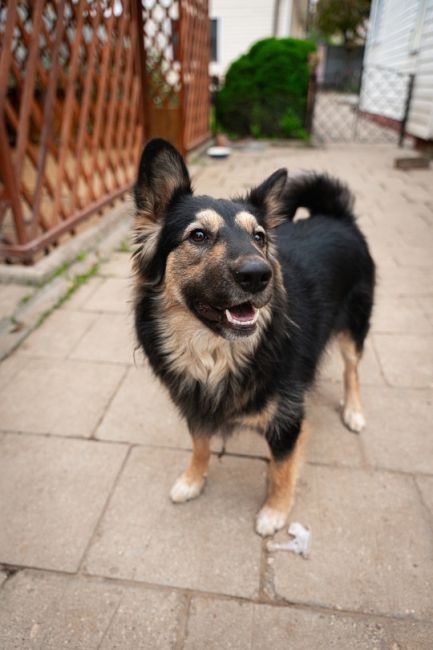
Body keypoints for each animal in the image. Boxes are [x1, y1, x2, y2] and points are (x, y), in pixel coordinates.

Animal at [132, 139, 374, 536]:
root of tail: (337, 216)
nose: (258, 275)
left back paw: (354, 411)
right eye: (198, 235)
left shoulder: (287, 420)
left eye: (258, 237)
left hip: (354, 326)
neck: (216, 352)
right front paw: (192, 480)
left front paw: (275, 511)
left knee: (352, 369)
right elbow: (200, 444)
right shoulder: (196, 404)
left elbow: (282, 468)